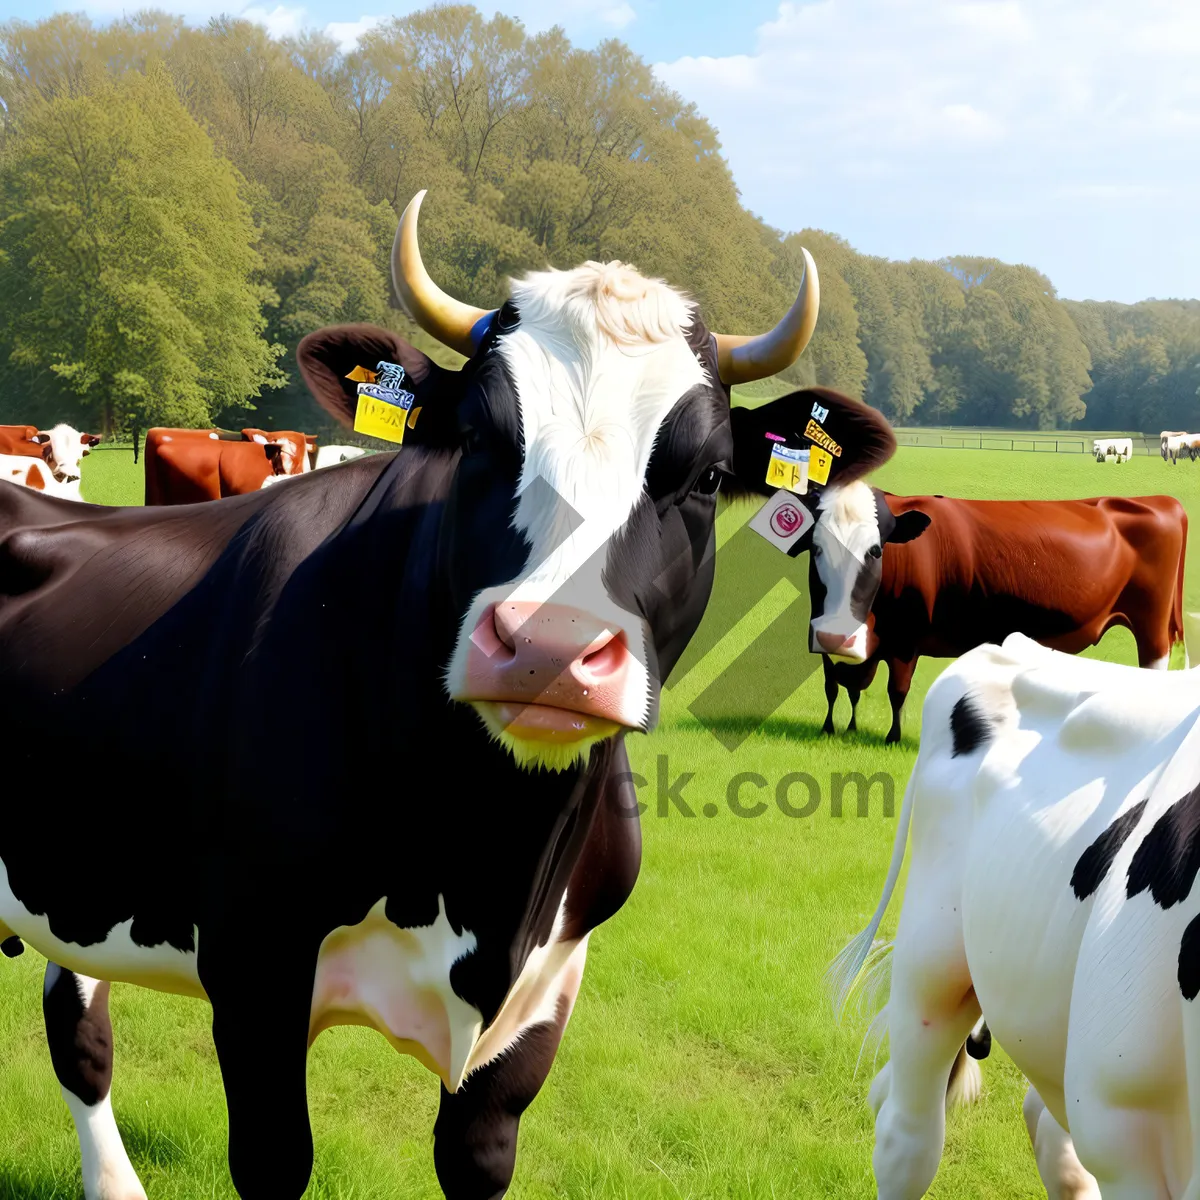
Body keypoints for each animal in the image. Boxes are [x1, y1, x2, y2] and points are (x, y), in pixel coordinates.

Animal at [0, 189, 902, 1200]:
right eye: (476, 439)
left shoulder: (545, 993)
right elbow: (275, 1161)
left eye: (706, 478)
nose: (548, 647)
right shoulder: (252, 960)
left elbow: (477, 1158)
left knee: (75, 1018)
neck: (492, 862)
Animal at [811, 487, 1185, 739]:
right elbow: (832, 684)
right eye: (816, 548)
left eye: (875, 550)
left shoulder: (907, 638)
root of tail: (1162, 501)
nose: (838, 636)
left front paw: (893, 737)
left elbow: (897, 690)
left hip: (1152, 627)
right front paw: (833, 727)